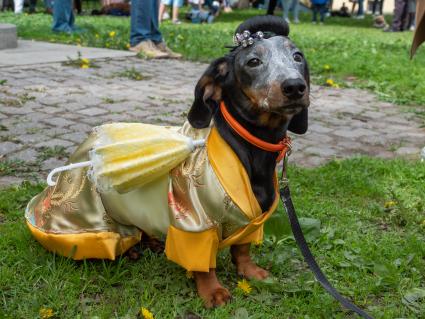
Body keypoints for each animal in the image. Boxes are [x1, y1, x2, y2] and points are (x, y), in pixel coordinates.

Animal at [187, 15, 310, 308]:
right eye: (253, 61)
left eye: (297, 56)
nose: (295, 87)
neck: (252, 153)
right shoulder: (200, 225)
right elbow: (204, 264)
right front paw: (212, 290)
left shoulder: (253, 218)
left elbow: (242, 248)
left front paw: (250, 271)